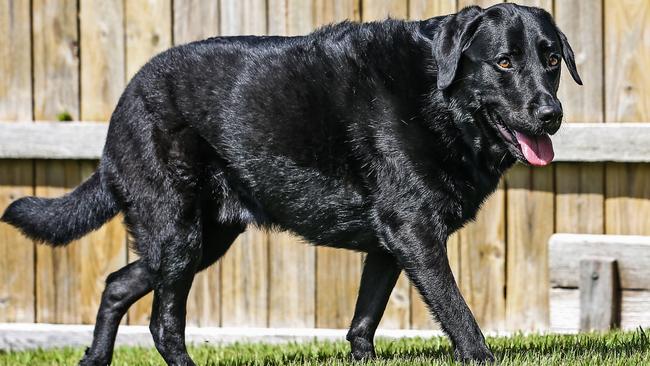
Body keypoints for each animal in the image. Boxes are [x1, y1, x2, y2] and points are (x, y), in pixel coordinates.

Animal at [1, 3, 576, 366]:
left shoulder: (389, 245)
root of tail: (118, 112)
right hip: (179, 237)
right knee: (164, 325)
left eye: (552, 59)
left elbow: (363, 321)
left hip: (196, 240)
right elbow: (459, 315)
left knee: (118, 283)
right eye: (504, 61)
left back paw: (95, 359)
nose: (551, 115)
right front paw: (480, 355)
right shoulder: (415, 233)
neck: (436, 97)